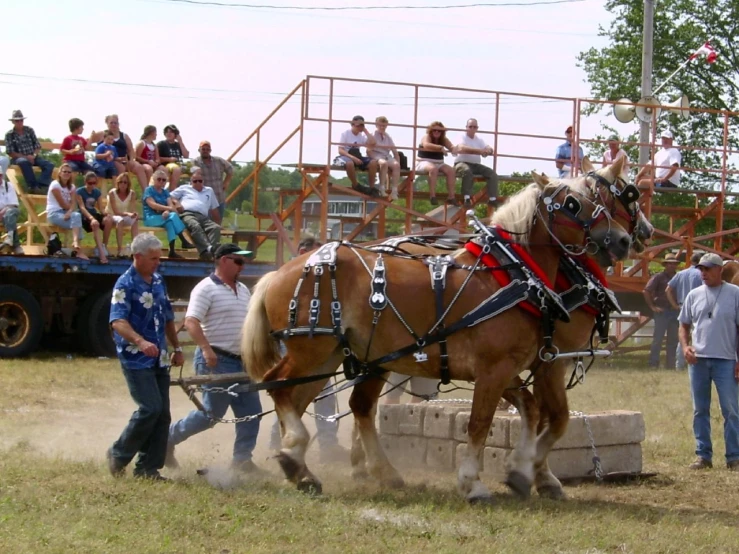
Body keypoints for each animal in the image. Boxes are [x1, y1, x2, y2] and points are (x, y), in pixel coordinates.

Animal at [244, 176, 636, 500]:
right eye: (573, 204)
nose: (624, 239)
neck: (515, 276)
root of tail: (281, 271)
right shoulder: (502, 368)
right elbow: (482, 422)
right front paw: (474, 483)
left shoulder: (512, 368)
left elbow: (532, 410)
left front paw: (521, 472)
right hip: (312, 348)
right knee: (279, 388)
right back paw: (296, 455)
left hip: (333, 355)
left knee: (314, 400)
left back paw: (305, 467)